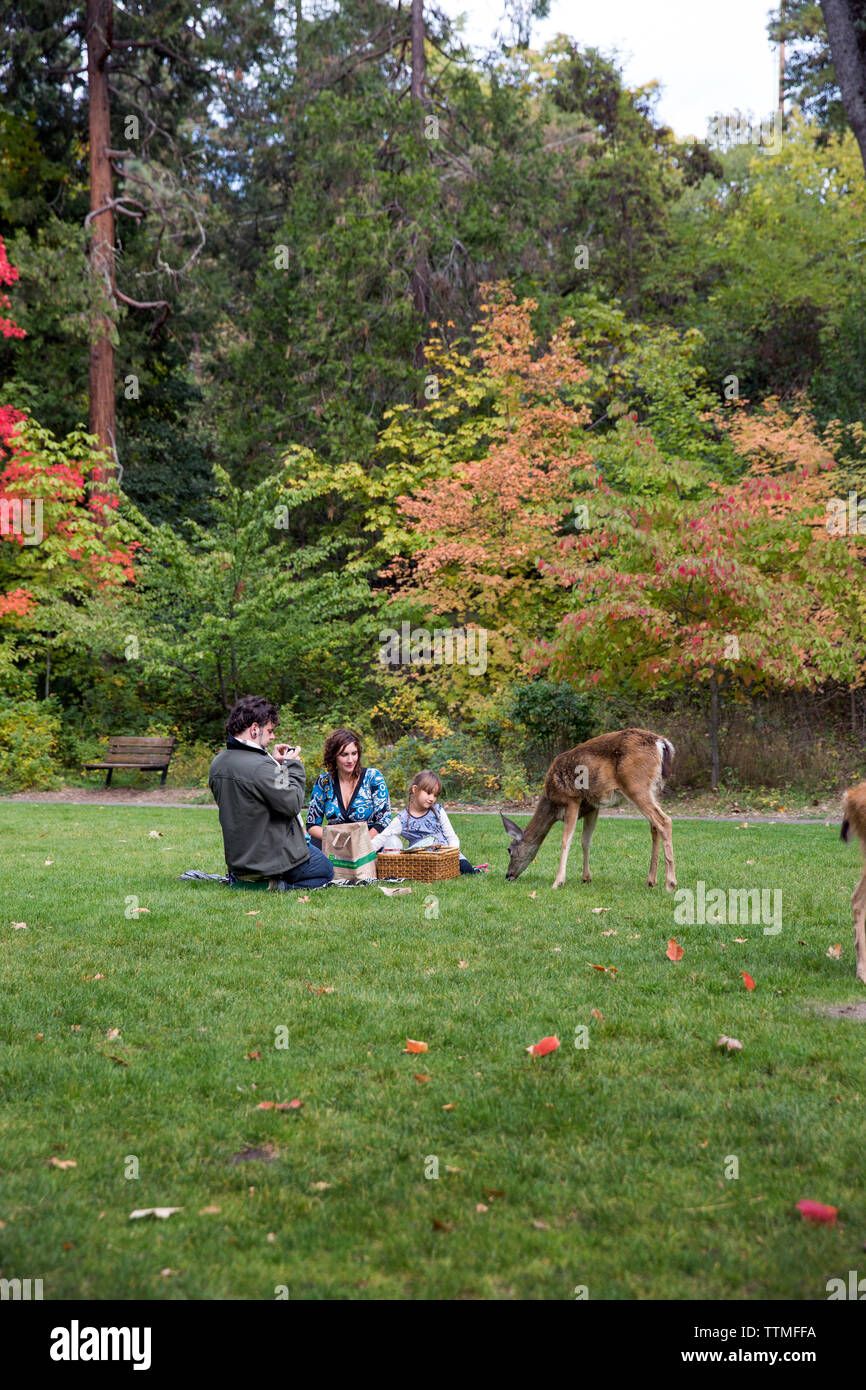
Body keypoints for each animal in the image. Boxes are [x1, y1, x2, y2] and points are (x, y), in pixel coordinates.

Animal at [500, 728, 678, 889]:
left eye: (509, 850)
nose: (508, 875)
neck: (551, 802)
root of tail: (661, 743)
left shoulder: (571, 799)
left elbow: (566, 841)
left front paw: (558, 882)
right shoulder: (592, 807)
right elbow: (585, 841)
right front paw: (586, 878)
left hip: (635, 784)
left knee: (664, 821)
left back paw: (670, 883)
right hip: (655, 789)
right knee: (654, 827)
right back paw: (651, 880)